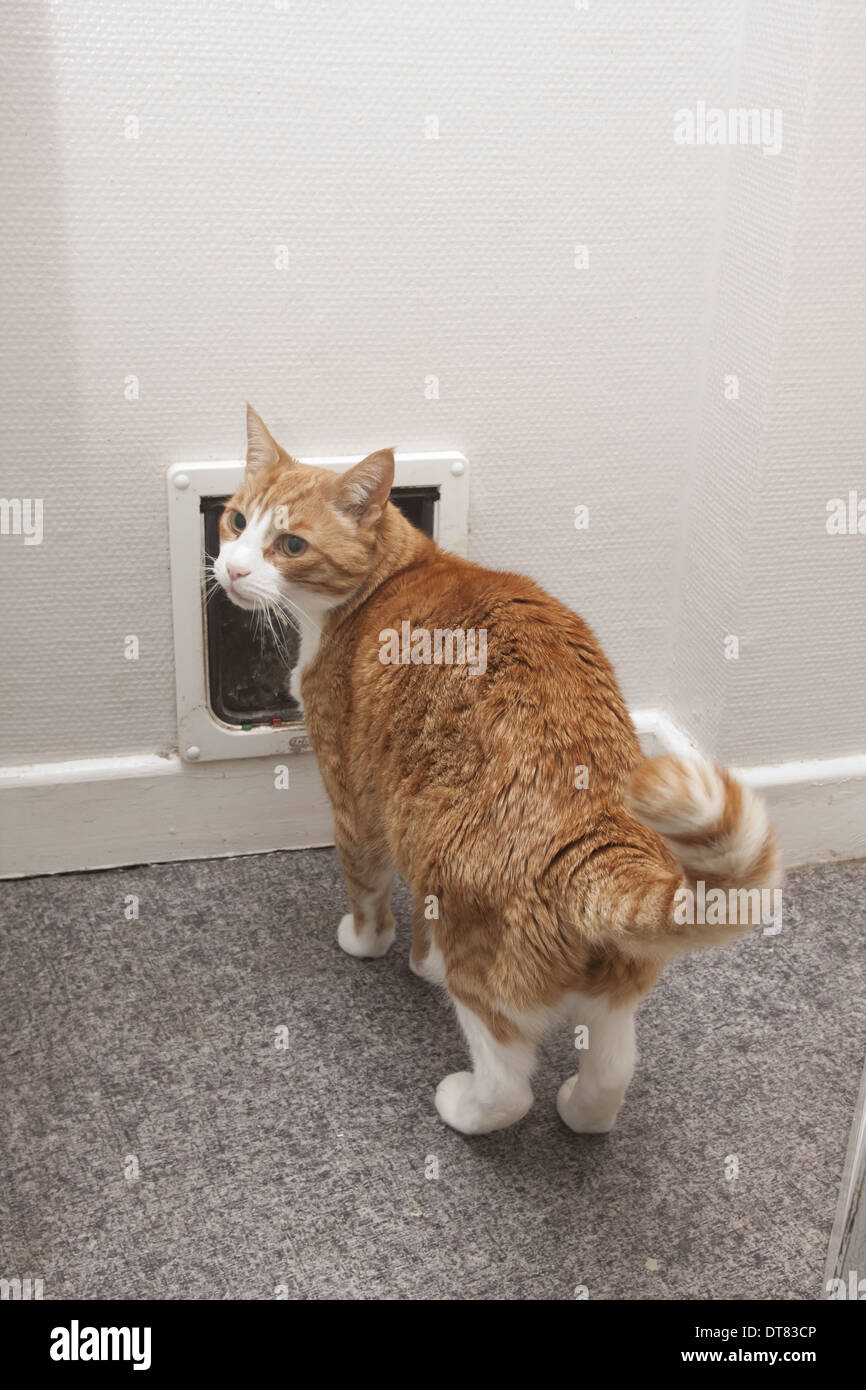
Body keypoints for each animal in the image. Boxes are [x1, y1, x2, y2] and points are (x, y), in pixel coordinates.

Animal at [215, 405, 778, 1134]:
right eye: (235, 522)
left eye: (289, 545)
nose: (230, 570)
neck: (390, 579)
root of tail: (596, 844)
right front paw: (420, 961)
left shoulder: (358, 800)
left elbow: (366, 892)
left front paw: (368, 943)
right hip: (613, 989)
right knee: (613, 1068)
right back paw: (582, 1112)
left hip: (480, 960)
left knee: (509, 1084)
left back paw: (464, 1105)